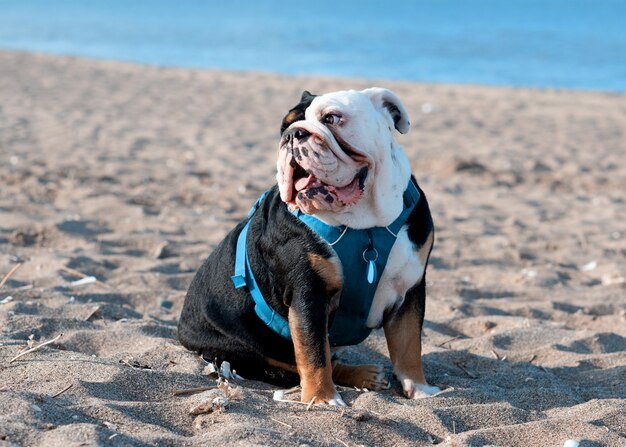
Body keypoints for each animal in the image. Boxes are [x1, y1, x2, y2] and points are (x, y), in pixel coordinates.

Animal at [178, 87, 436, 406]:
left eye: (332, 118)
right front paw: (322, 400)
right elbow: (314, 353)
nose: (292, 135)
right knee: (294, 366)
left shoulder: (410, 290)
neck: (365, 226)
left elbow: (409, 344)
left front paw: (420, 388)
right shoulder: (308, 294)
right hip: (243, 351)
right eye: (285, 126)